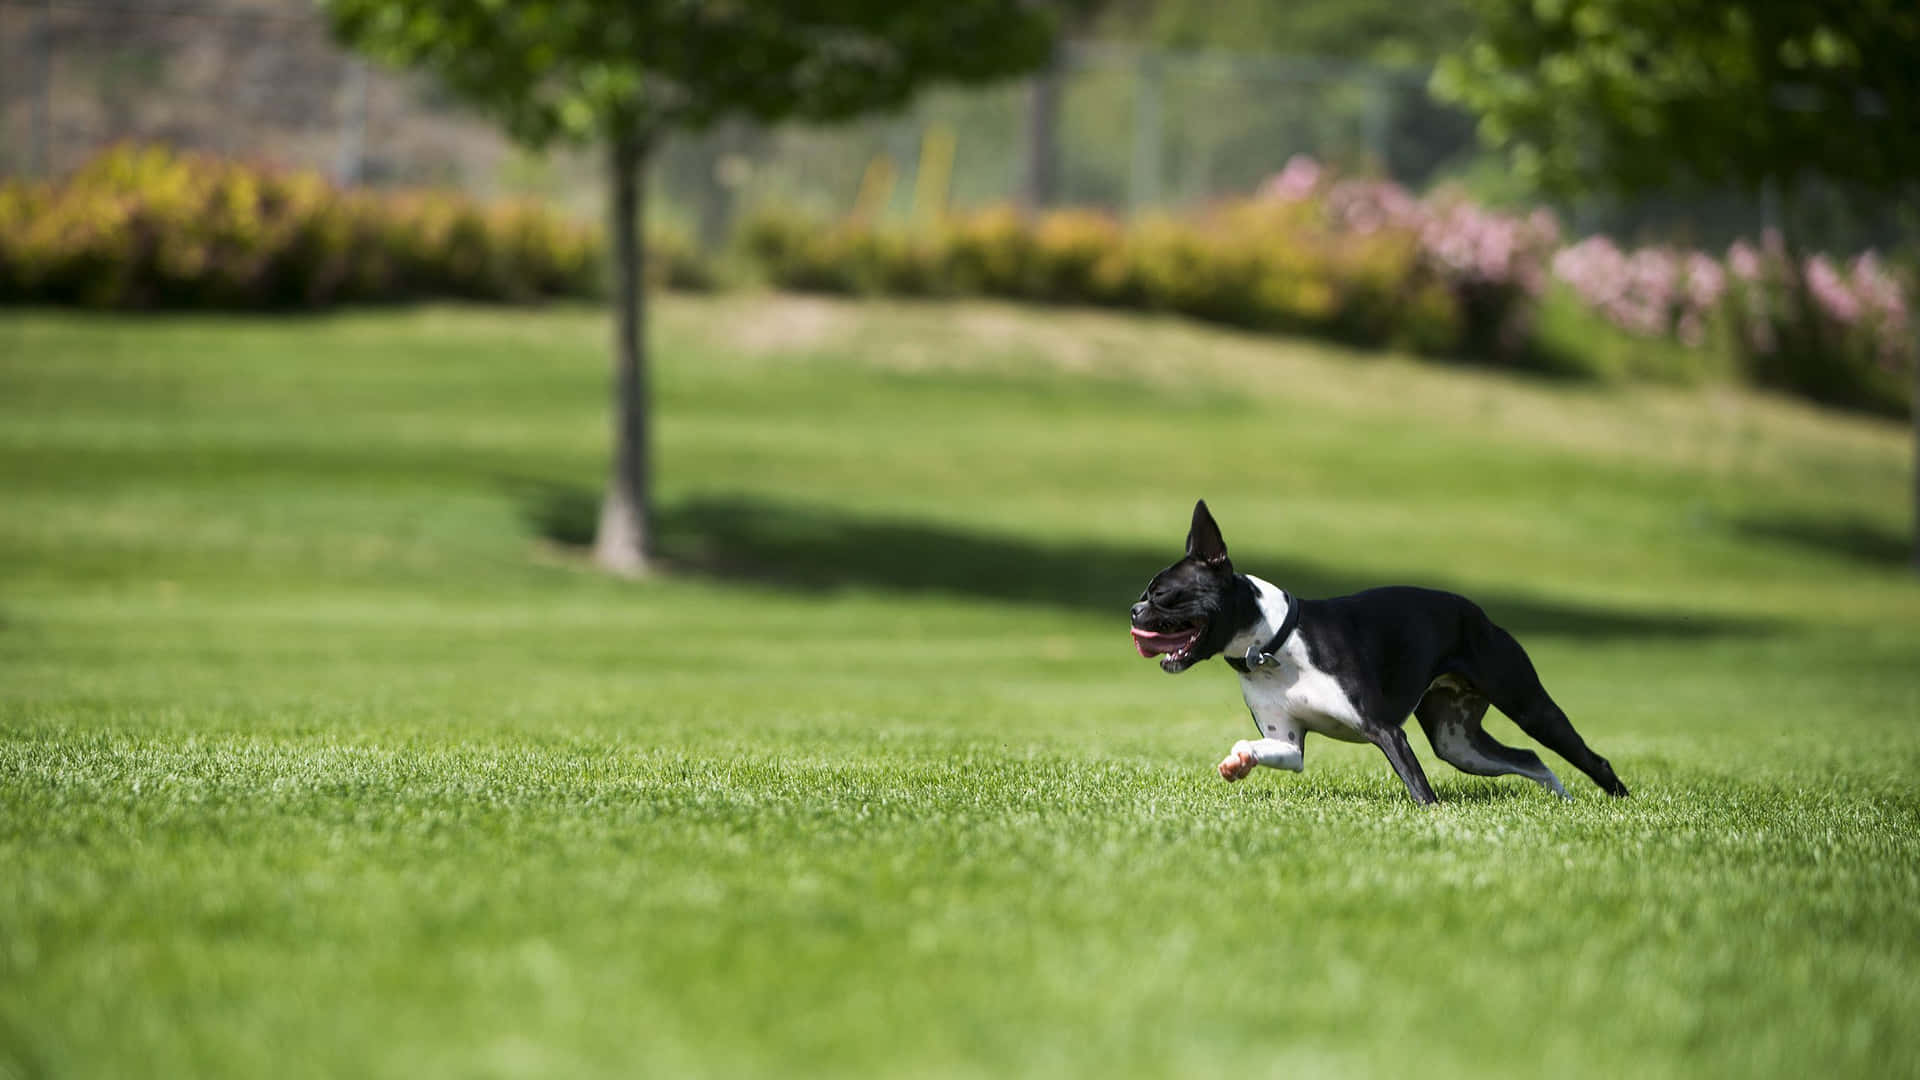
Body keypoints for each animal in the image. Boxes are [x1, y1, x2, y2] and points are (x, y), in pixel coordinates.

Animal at [1128, 495, 1628, 799]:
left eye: (1162, 594)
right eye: (1145, 594)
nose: (1133, 610)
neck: (1272, 650)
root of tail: (1476, 612)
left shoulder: (1385, 730)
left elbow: (1419, 787)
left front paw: (1433, 815)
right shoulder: (1287, 742)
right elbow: (1265, 749)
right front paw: (1239, 761)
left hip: (1527, 705)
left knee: (1586, 754)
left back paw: (1617, 801)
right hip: (1460, 744)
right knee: (1527, 757)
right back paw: (1560, 797)